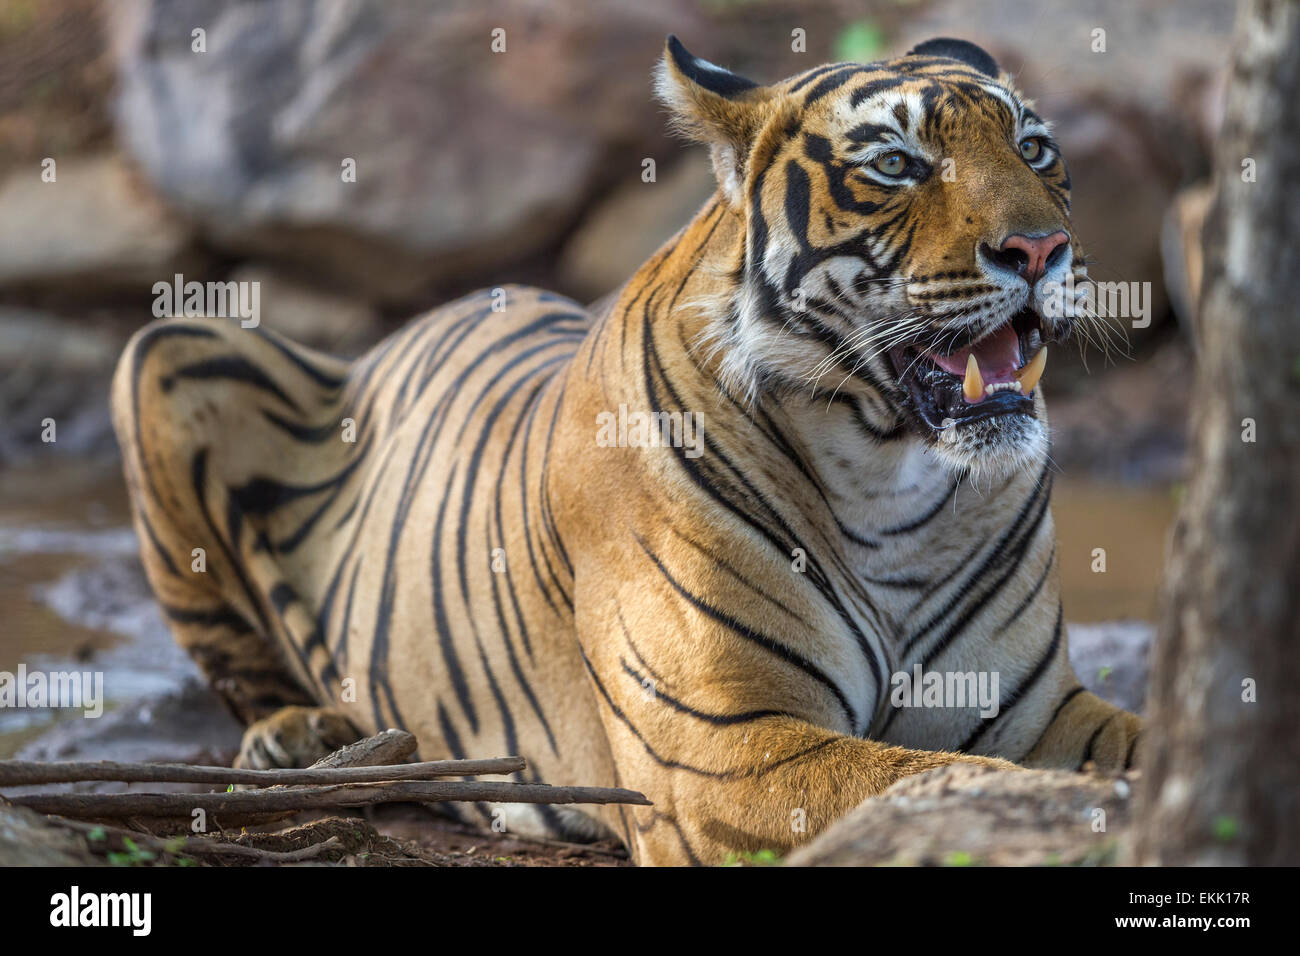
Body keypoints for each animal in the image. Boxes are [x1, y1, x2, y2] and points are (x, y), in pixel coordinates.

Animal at [116, 35, 1144, 868]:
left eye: (1036, 149)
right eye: (896, 163)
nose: (1042, 248)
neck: (894, 479)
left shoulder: (1035, 707)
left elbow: (1137, 742)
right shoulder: (720, 749)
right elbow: (919, 779)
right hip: (169, 346)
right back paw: (301, 738)